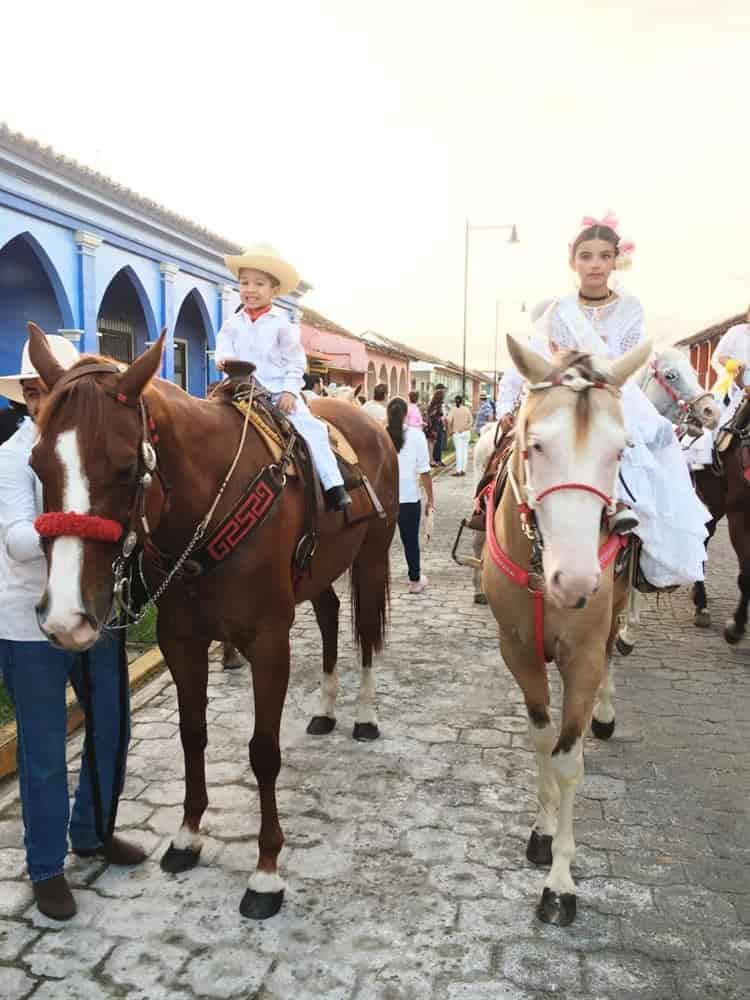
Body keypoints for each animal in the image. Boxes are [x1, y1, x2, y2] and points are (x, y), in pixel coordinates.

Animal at [25, 324, 400, 916]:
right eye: (38, 465)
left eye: (127, 468)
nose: (65, 618)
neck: (209, 507)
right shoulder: (182, 641)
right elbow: (192, 734)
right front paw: (187, 836)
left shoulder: (268, 643)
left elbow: (263, 752)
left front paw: (266, 871)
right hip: (319, 573)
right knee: (330, 617)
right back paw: (325, 709)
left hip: (370, 558)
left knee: (363, 632)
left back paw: (363, 714)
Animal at [482, 334, 652, 920]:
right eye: (534, 446)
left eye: (619, 450)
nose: (575, 582)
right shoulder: (517, 650)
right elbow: (541, 740)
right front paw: (542, 830)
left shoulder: (582, 654)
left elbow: (568, 759)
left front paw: (560, 879)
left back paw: (606, 710)